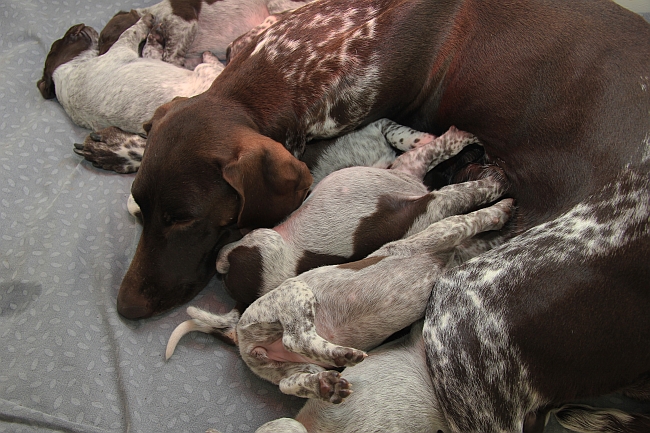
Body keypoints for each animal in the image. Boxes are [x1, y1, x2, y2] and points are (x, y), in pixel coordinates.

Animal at [170, 198, 512, 402]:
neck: (445, 260)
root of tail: (239, 335)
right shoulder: (442, 232)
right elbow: (470, 219)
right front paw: (501, 209)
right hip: (296, 297)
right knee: (298, 338)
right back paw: (344, 355)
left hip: (289, 367)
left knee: (290, 381)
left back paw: (327, 385)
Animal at [213, 125, 502, 308]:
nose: (488, 155)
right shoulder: (409, 169)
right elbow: (444, 156)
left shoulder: (419, 186)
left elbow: (460, 187)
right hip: (264, 239)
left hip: (264, 240)